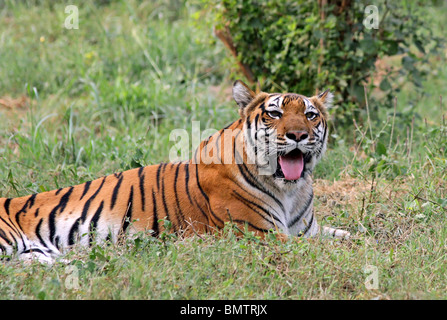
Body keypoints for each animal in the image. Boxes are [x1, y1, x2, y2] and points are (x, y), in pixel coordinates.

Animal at [0, 80, 350, 262]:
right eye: (274, 114)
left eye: (310, 115)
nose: (297, 135)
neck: (290, 190)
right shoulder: (261, 234)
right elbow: (337, 248)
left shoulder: (306, 230)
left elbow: (349, 236)